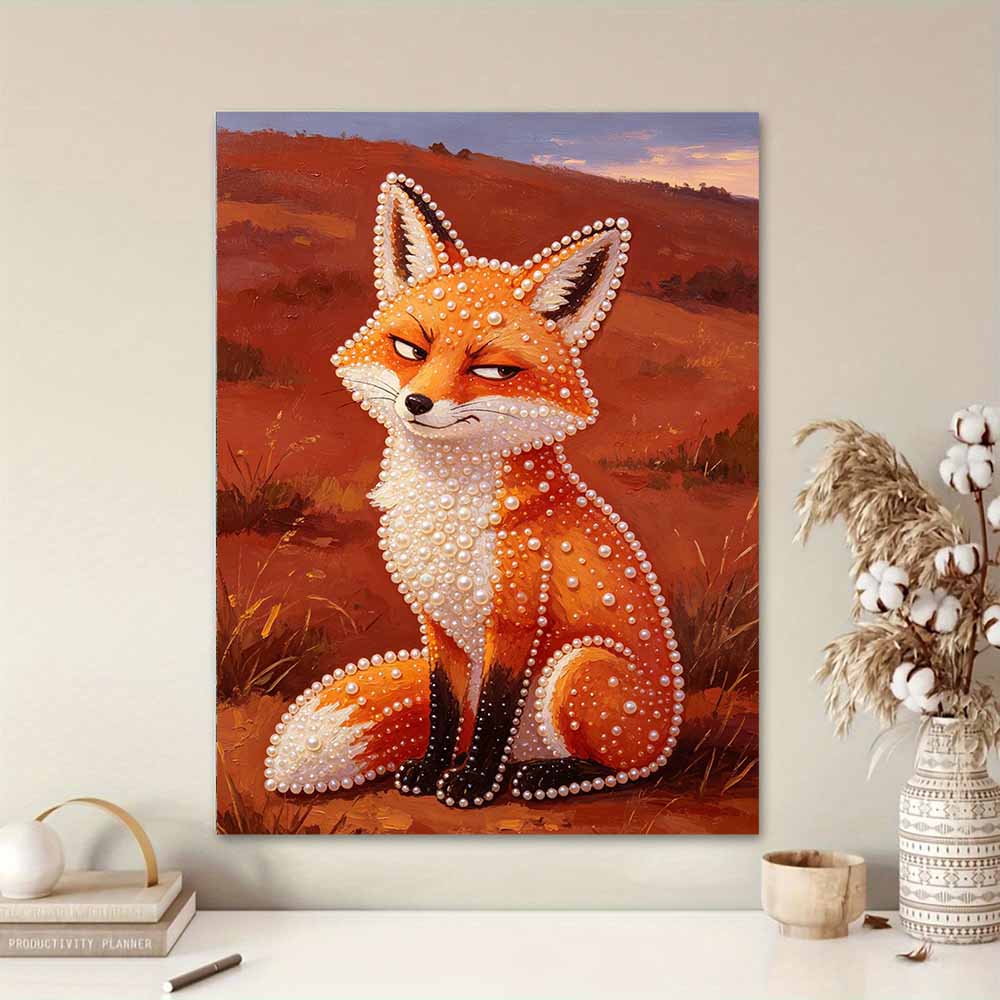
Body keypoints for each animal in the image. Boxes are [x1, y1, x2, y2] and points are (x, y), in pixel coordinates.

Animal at [263, 172, 686, 808]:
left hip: (579, 670)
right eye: (410, 350)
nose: (416, 402)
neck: (445, 509)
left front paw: (472, 785)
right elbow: (446, 708)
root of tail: (671, 720)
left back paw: (548, 776)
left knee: (628, 765)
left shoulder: (513, 620)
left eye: (491, 371)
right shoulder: (436, 619)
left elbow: (491, 713)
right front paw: (432, 768)